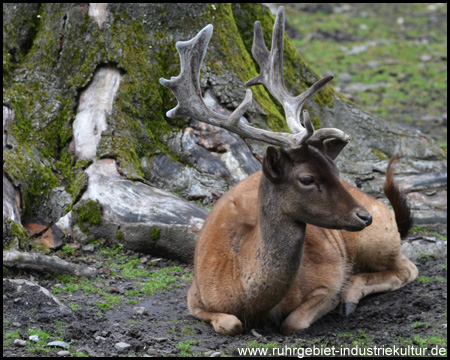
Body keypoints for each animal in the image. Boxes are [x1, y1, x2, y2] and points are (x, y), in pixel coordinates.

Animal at [160, 7, 416, 336]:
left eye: (336, 170)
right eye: (306, 178)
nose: (364, 216)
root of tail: (387, 214)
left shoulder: (327, 279)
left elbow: (293, 322)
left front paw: (339, 297)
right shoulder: (194, 294)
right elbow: (229, 323)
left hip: (378, 240)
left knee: (407, 266)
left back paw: (351, 295)